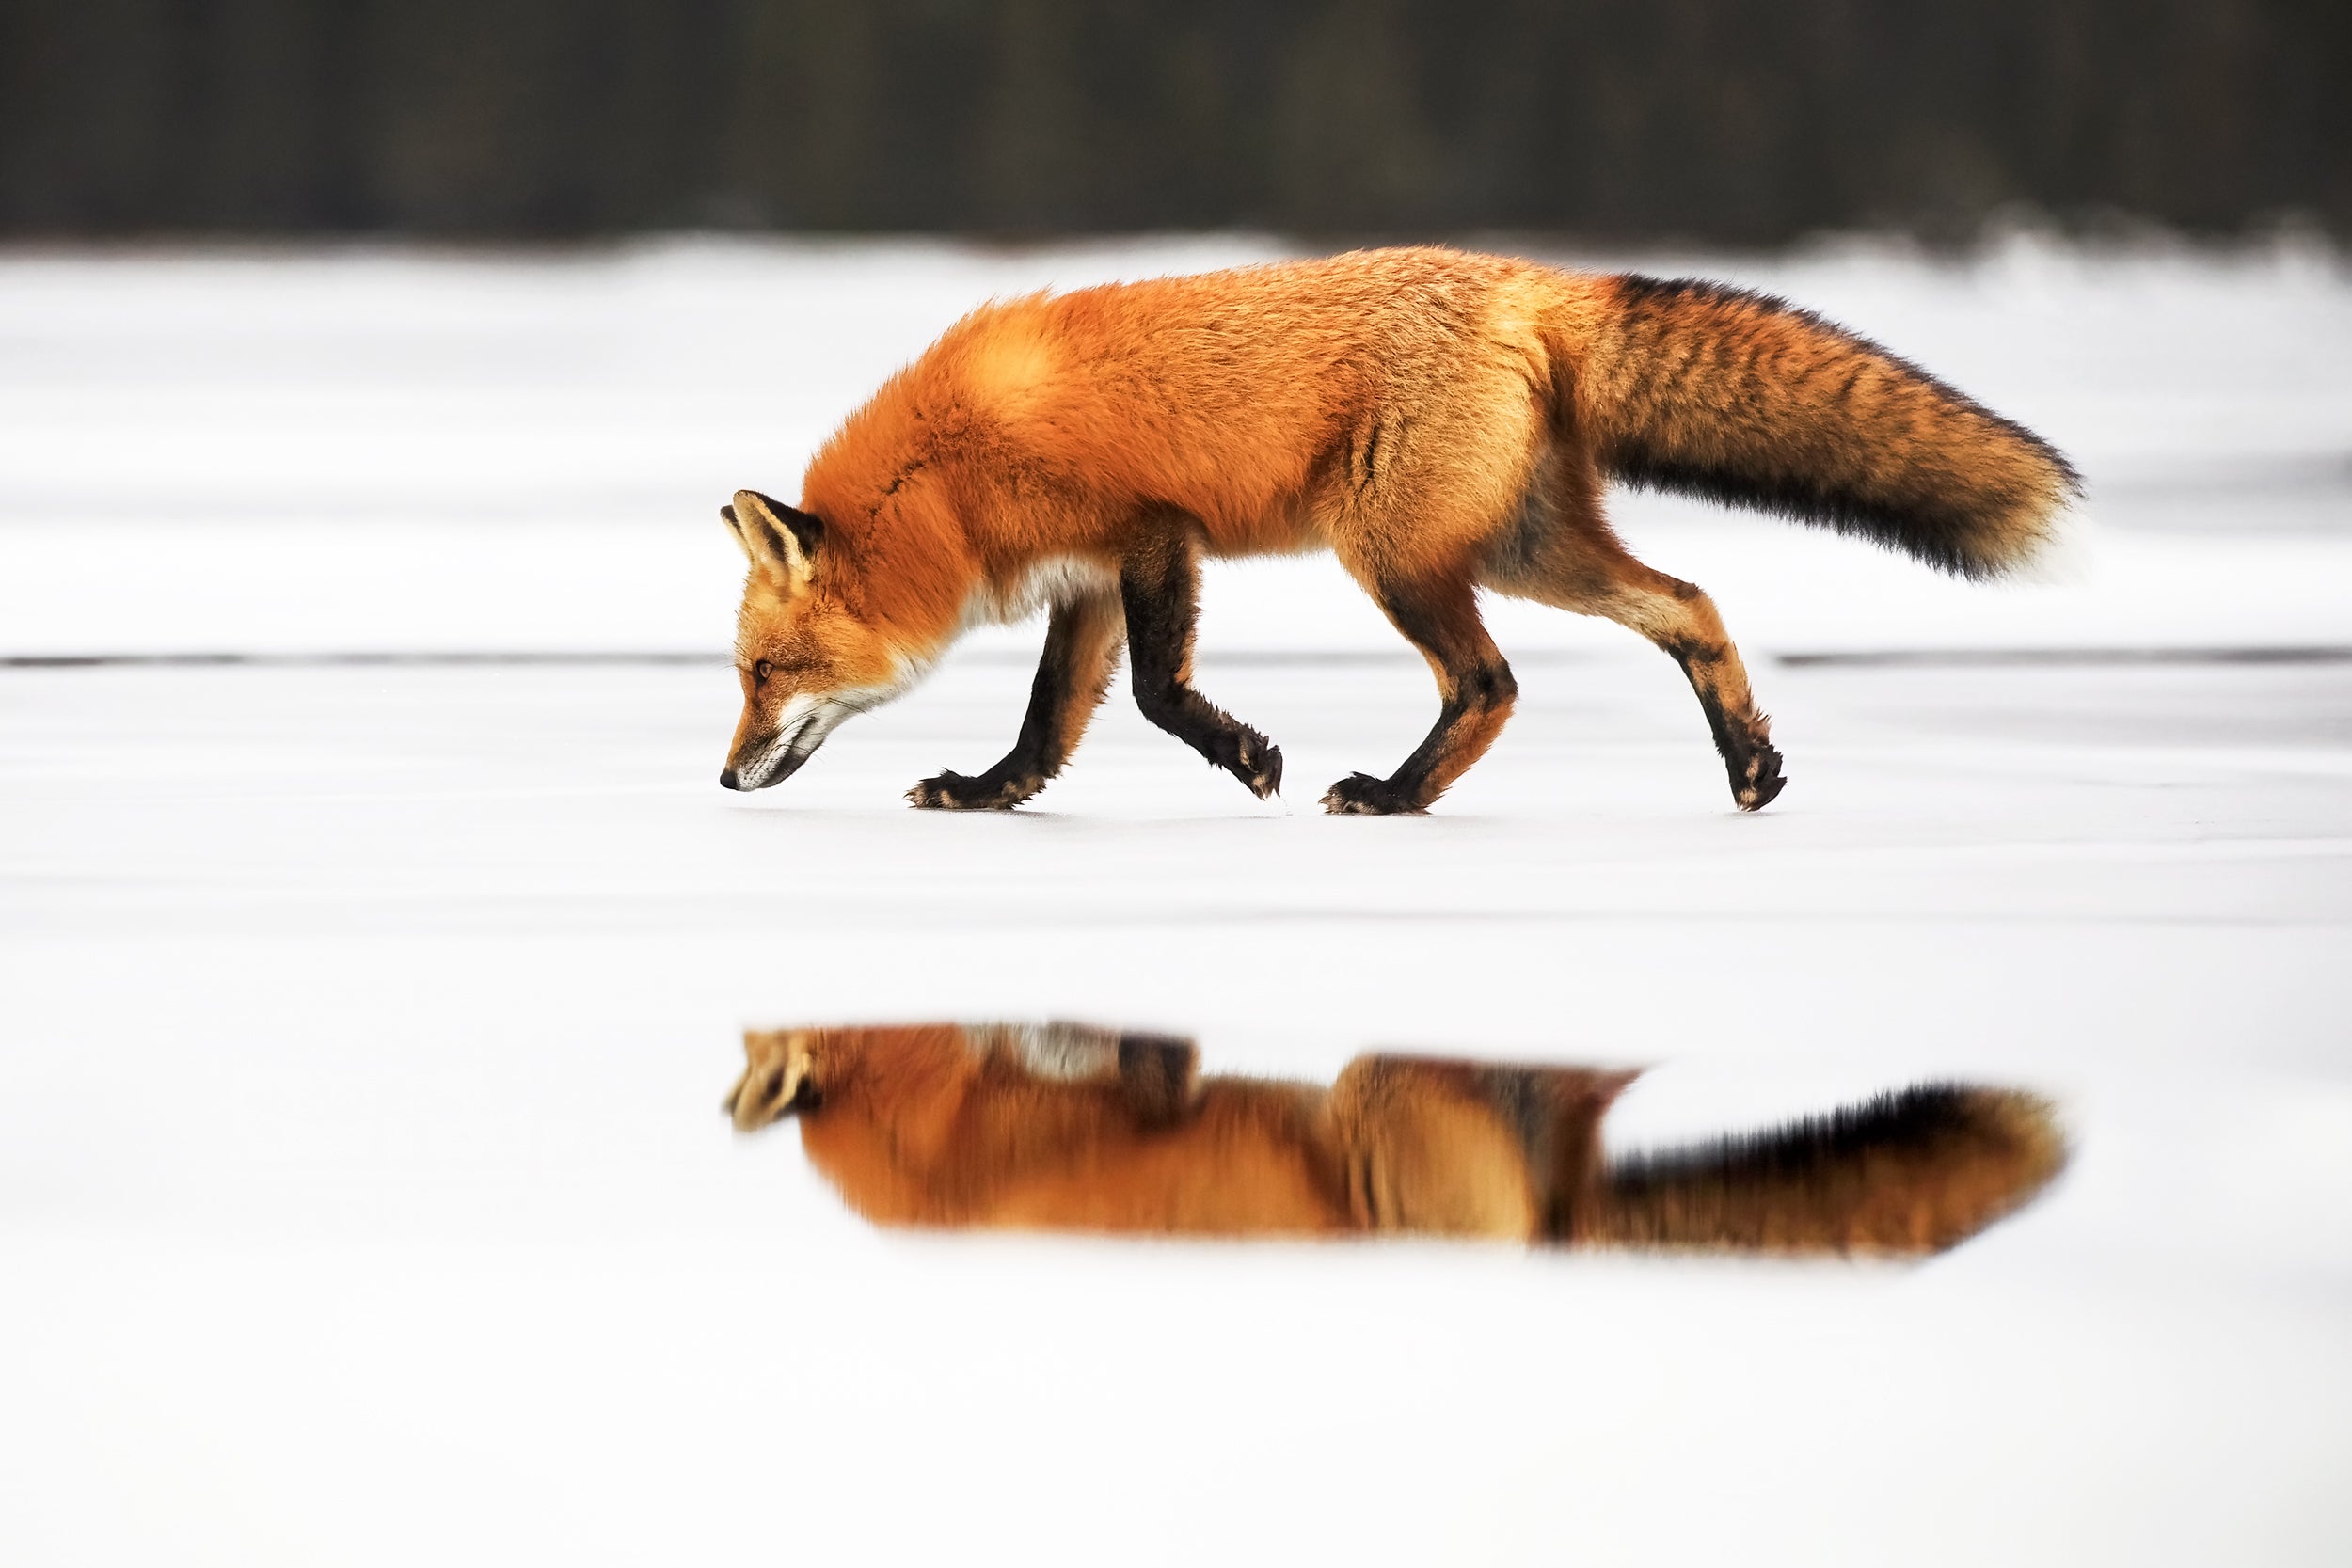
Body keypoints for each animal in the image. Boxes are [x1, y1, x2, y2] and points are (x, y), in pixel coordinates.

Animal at [718, 247, 2078, 814]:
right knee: (1689, 604)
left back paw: (1393, 794)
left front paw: (1248, 756)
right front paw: (987, 793)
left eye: (762, 673)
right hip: (1524, 550)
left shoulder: (1151, 534)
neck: (943, 482)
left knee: (1489, 681)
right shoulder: (1089, 579)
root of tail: (1531, 281)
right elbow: (1051, 724)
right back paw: (1748, 764)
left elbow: (1157, 694)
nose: (724, 776)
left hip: (1394, 556)